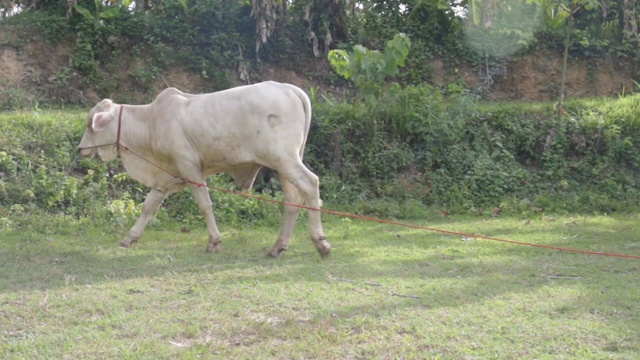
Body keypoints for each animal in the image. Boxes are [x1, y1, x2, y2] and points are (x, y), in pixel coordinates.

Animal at [76, 81, 330, 258]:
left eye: (90, 124)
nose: (80, 149)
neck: (151, 122)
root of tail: (289, 88)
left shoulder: (189, 167)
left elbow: (204, 204)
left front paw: (214, 242)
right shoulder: (165, 175)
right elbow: (149, 207)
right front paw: (129, 238)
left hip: (285, 159)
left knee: (311, 184)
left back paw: (320, 242)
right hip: (283, 165)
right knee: (293, 201)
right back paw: (278, 247)